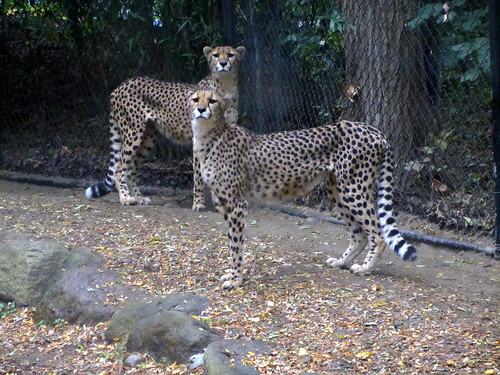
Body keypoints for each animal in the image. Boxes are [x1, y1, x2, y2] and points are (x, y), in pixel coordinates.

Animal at [86, 45, 246, 209]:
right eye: (216, 55)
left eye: (230, 55)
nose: (223, 63)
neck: (225, 87)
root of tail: (121, 85)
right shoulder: (198, 140)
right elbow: (199, 176)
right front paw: (199, 203)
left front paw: (219, 202)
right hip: (133, 133)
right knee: (119, 170)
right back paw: (125, 198)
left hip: (148, 140)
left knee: (131, 170)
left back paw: (139, 197)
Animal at [189, 89, 416, 290]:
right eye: (195, 99)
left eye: (212, 101)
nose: (201, 109)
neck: (208, 136)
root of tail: (371, 129)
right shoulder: (225, 204)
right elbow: (230, 243)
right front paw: (231, 273)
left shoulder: (236, 204)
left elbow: (236, 245)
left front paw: (236, 279)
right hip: (337, 189)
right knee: (359, 233)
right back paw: (341, 262)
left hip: (353, 188)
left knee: (377, 232)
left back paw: (365, 268)